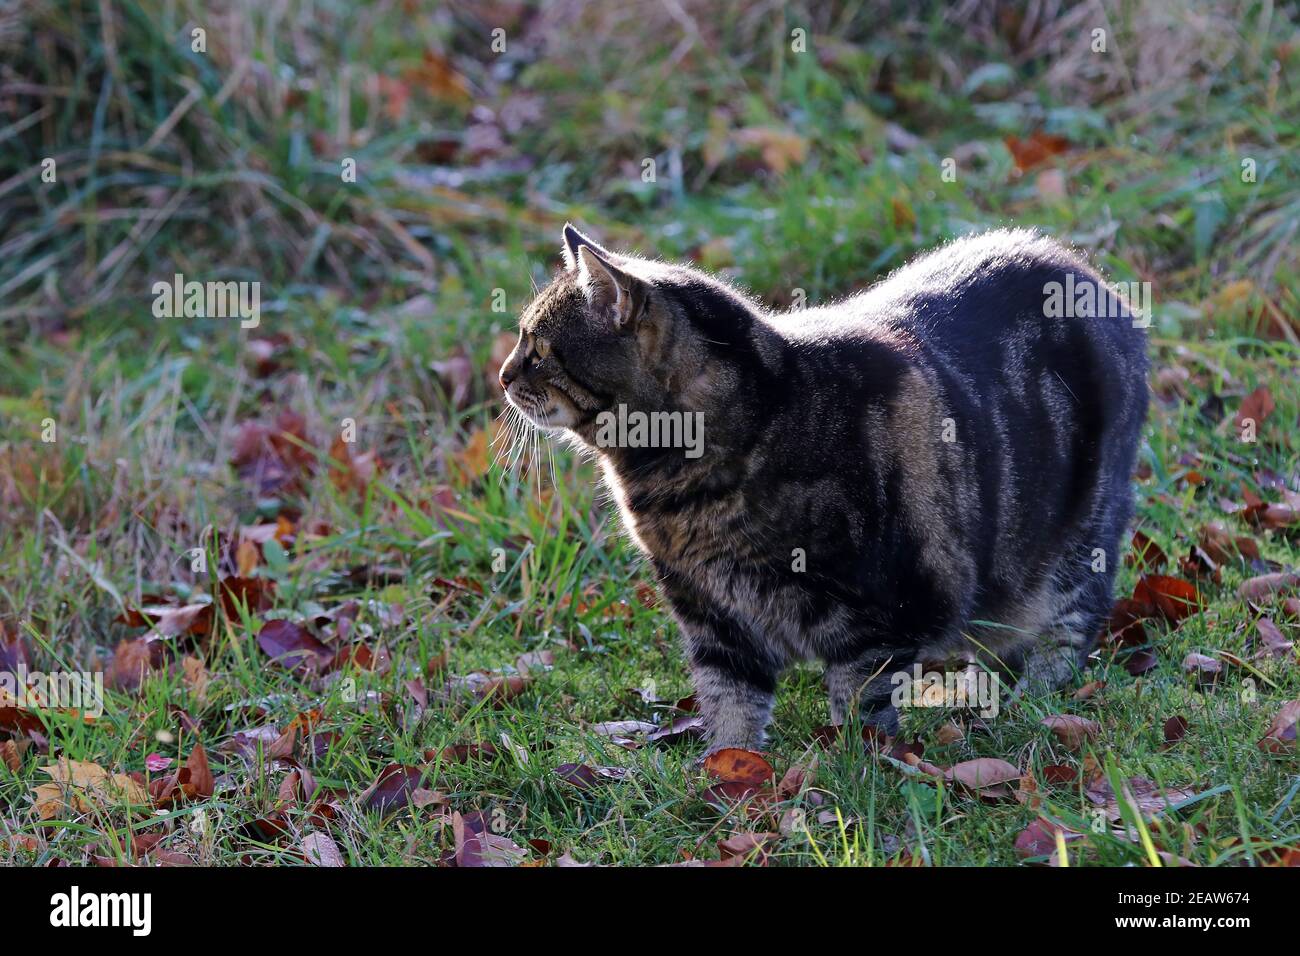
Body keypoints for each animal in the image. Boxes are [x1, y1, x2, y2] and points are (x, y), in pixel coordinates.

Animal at [496, 222, 1149, 749]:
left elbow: (860, 702)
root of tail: (1086, 273)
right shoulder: (712, 615)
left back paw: (1028, 707)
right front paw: (730, 781)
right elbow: (729, 706)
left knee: (1067, 632)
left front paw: (856, 771)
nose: (502, 376)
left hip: (1077, 545)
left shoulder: (881, 609)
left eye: (539, 349)